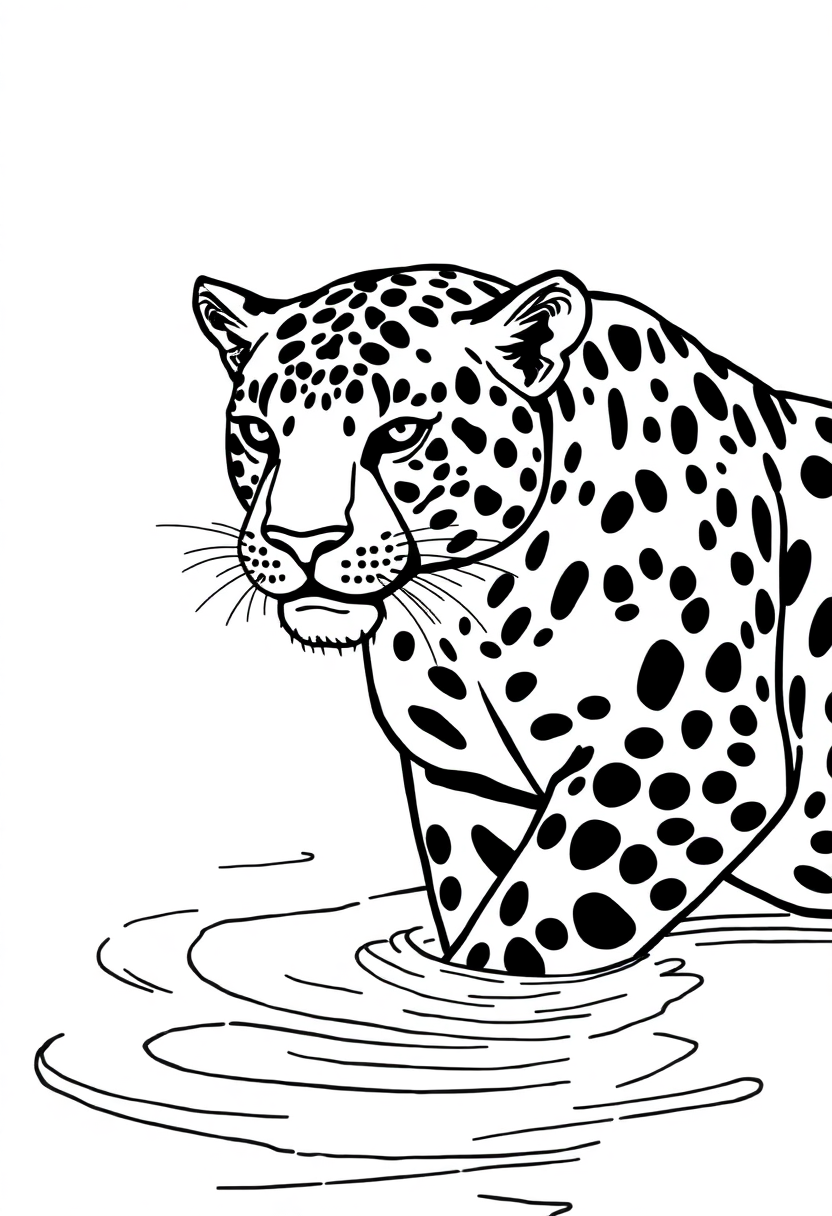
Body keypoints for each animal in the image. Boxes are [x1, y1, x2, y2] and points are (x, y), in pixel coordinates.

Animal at [192, 263, 832, 978]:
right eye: (258, 433)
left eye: (400, 434)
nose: (301, 542)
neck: (473, 617)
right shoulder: (471, 786)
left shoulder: (687, 760)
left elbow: (532, 932)